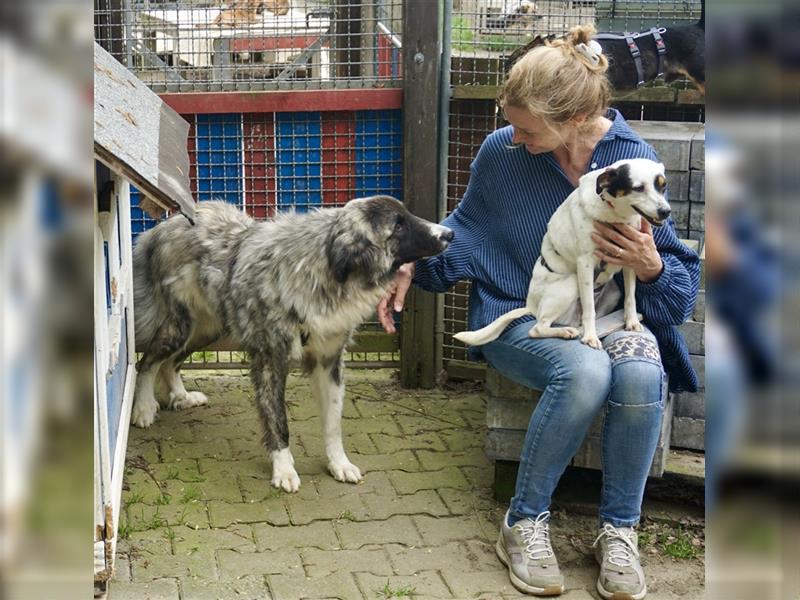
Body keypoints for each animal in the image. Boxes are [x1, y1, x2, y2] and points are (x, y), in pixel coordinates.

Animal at [134, 197, 454, 492]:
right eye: (398, 225)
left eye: (407, 216)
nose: (449, 234)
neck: (325, 272)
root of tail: (165, 225)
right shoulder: (271, 359)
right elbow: (278, 422)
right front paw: (284, 470)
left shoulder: (329, 362)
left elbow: (333, 423)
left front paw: (338, 464)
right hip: (180, 327)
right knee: (147, 361)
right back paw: (143, 408)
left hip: (208, 329)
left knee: (170, 363)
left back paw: (180, 396)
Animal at [454, 157, 672, 350]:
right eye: (638, 188)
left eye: (663, 186)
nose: (666, 211)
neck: (614, 216)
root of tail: (531, 305)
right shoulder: (585, 264)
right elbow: (589, 309)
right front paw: (591, 337)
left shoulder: (630, 258)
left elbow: (631, 297)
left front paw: (632, 321)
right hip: (570, 284)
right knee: (538, 328)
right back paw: (567, 332)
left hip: (611, 292)